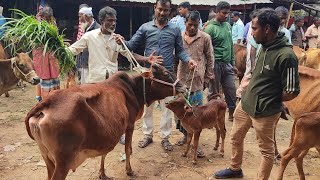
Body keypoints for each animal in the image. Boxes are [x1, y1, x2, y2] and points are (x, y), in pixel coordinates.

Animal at [25, 63, 188, 180]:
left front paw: (102, 174)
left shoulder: (110, 131)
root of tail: (47, 102)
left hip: (47, 159)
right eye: (165, 73)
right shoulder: (129, 125)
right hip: (62, 163)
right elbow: (128, 150)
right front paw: (129, 171)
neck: (134, 88)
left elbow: (105, 152)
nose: (185, 87)